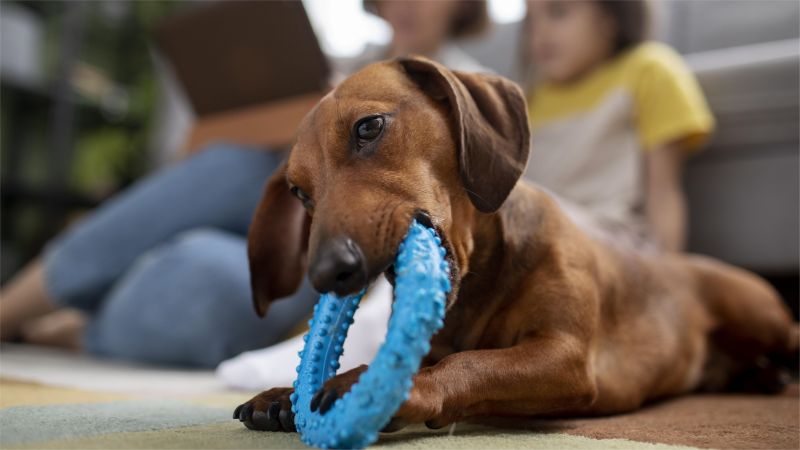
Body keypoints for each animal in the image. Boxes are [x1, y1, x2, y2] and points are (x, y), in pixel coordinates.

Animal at [233, 56, 800, 432]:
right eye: (299, 192)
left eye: (368, 127)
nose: (327, 273)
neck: (481, 278)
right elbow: (445, 356)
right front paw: (284, 394)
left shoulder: (566, 357)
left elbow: (468, 364)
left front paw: (377, 384)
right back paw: (759, 378)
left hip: (760, 317)